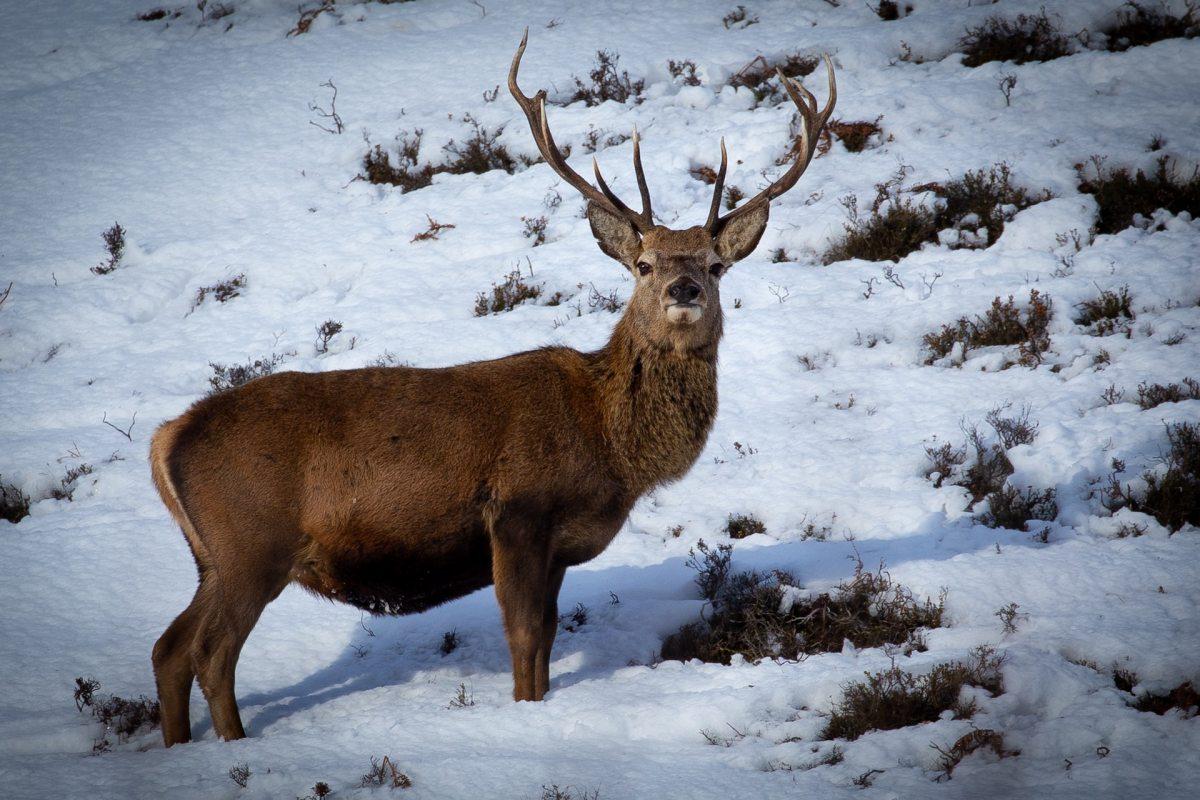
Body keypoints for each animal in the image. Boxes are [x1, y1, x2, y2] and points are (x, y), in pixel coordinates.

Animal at [145, 31, 830, 743]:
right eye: (643, 265)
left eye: (717, 265)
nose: (684, 289)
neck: (609, 444)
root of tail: (167, 438)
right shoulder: (517, 513)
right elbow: (524, 639)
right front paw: (524, 716)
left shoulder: (558, 548)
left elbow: (548, 639)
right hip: (250, 542)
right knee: (210, 651)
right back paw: (233, 745)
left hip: (215, 556)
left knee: (169, 647)